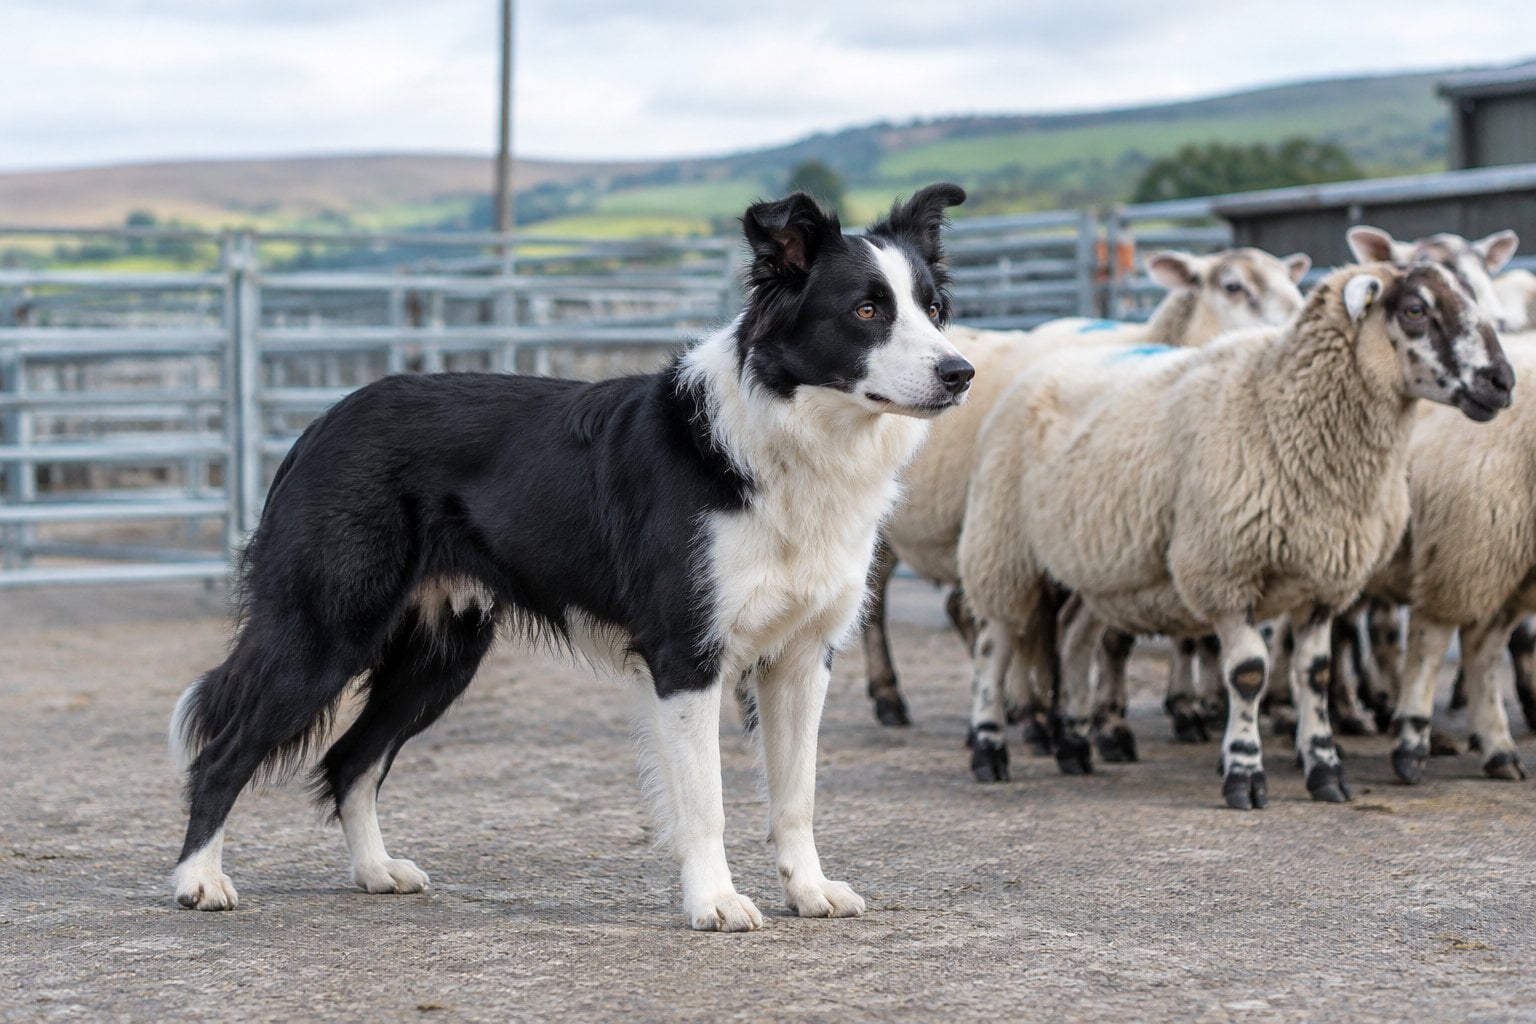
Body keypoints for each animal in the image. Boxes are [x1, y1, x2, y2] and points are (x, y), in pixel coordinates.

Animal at [864, 247, 1310, 731]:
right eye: (1233, 287)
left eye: (1292, 283)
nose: (1292, 325)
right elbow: (1070, 633)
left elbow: (1191, 633)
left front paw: (1192, 707)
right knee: (886, 603)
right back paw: (894, 698)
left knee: (964, 611)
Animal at [955, 261, 1513, 805]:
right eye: (1416, 309)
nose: (1502, 381)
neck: (1279, 404)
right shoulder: (1225, 571)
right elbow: (1248, 674)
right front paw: (1245, 774)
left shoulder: (1324, 580)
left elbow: (1316, 674)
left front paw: (1325, 771)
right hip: (1002, 543)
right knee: (994, 645)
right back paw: (989, 750)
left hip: (1104, 569)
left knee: (1073, 636)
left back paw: (1074, 745)